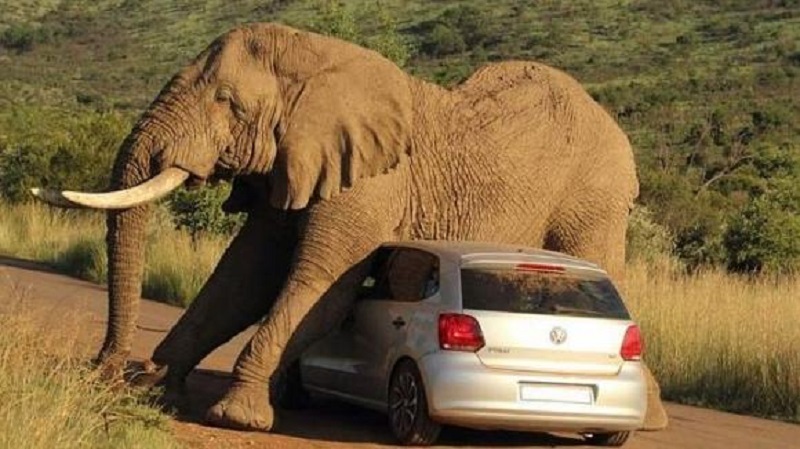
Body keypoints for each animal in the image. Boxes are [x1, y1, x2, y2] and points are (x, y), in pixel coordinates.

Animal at [32, 23, 668, 430]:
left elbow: (320, 285)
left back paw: (652, 418)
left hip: (594, 194)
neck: (320, 60)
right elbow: (242, 280)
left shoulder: (370, 182)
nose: (106, 371)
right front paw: (159, 385)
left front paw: (237, 415)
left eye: (227, 101)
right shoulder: (293, 164)